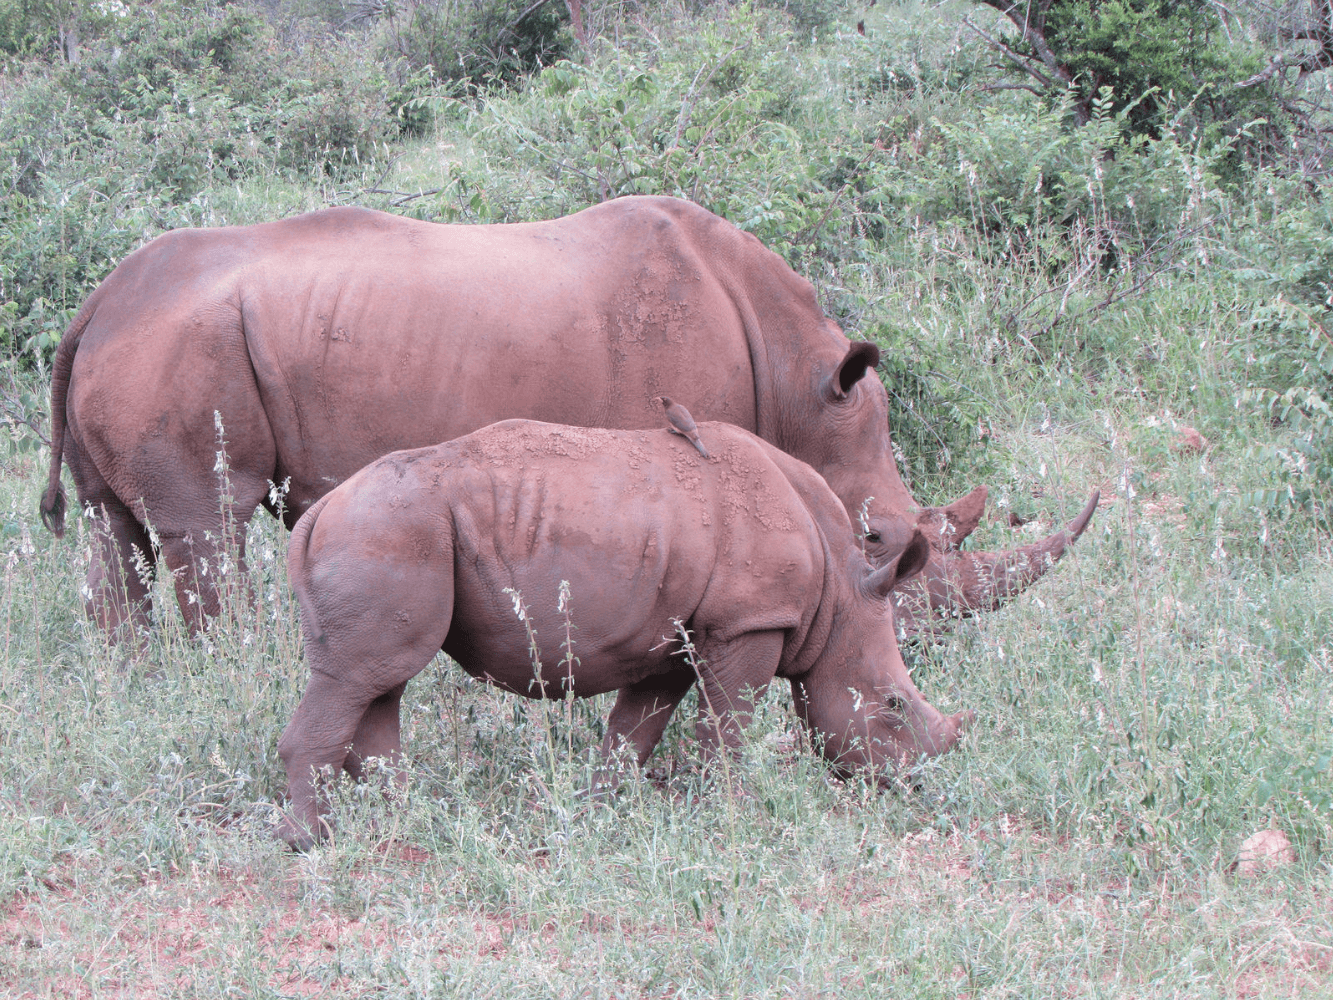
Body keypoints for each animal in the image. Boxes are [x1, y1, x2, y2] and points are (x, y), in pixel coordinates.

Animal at [40, 195, 1096, 637]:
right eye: (875, 536)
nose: (930, 638)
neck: (800, 384)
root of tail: (95, 305)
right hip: (183, 348)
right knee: (204, 530)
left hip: (146, 346)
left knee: (112, 535)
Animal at [276, 416, 973, 849]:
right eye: (893, 706)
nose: (917, 784)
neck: (839, 592)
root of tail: (316, 514)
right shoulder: (748, 622)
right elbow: (728, 725)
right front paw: (732, 815)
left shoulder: (674, 639)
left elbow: (635, 731)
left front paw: (599, 810)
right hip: (387, 530)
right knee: (359, 679)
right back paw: (312, 843)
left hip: (387, 530)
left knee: (378, 679)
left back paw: (406, 817)